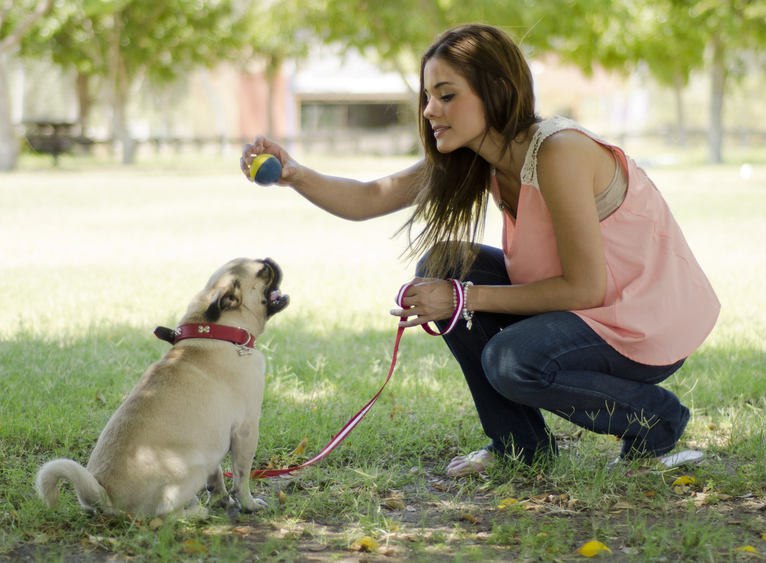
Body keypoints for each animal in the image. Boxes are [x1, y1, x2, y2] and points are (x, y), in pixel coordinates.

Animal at [35, 258, 292, 516]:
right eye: (263, 271)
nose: (270, 260)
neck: (219, 332)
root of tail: (106, 498)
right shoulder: (246, 430)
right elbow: (241, 477)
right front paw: (249, 505)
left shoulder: (214, 440)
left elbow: (217, 476)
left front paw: (222, 500)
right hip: (194, 468)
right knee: (164, 515)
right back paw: (196, 513)